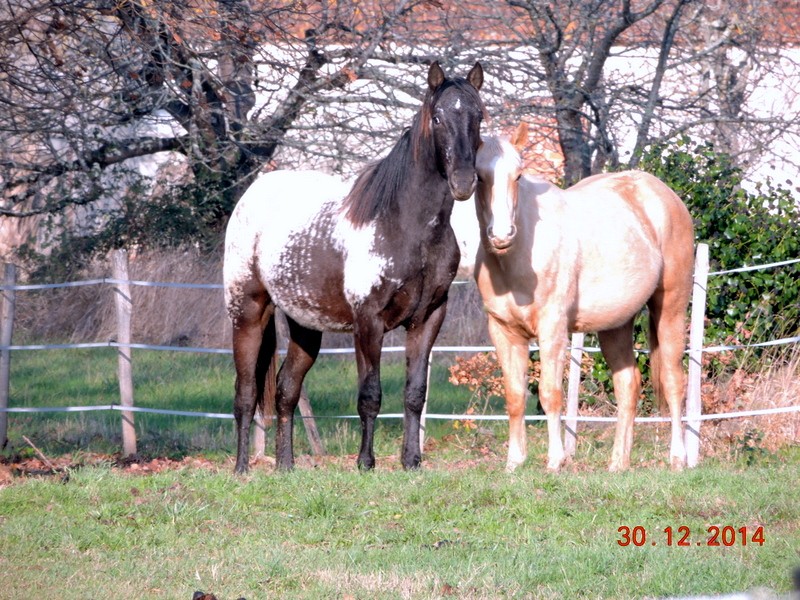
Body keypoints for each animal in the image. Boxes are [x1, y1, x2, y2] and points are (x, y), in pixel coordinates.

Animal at [222, 61, 484, 474]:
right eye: (439, 117)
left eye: (479, 115)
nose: (463, 181)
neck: (405, 227)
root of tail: (251, 196)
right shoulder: (368, 323)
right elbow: (370, 395)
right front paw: (365, 463)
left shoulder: (428, 318)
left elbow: (415, 393)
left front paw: (411, 461)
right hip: (248, 313)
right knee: (246, 393)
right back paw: (241, 469)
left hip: (305, 327)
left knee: (286, 390)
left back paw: (286, 467)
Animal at [476, 125, 692, 474]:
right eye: (479, 176)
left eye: (518, 175)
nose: (501, 235)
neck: (522, 253)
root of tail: (663, 195)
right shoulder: (503, 332)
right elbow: (515, 396)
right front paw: (513, 462)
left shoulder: (552, 329)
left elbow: (550, 393)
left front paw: (555, 460)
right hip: (616, 325)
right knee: (628, 386)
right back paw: (618, 463)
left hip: (670, 309)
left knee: (674, 381)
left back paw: (678, 459)